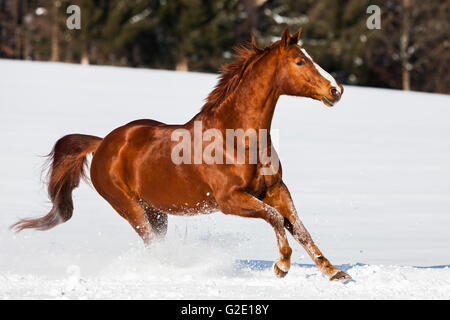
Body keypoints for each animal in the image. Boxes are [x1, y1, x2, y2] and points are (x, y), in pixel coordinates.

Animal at [9, 28, 348, 282]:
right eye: (300, 62)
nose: (336, 90)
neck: (237, 139)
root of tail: (104, 143)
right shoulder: (230, 200)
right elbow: (276, 219)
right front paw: (282, 265)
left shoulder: (275, 189)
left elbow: (299, 227)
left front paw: (333, 271)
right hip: (131, 208)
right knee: (151, 244)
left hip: (156, 211)